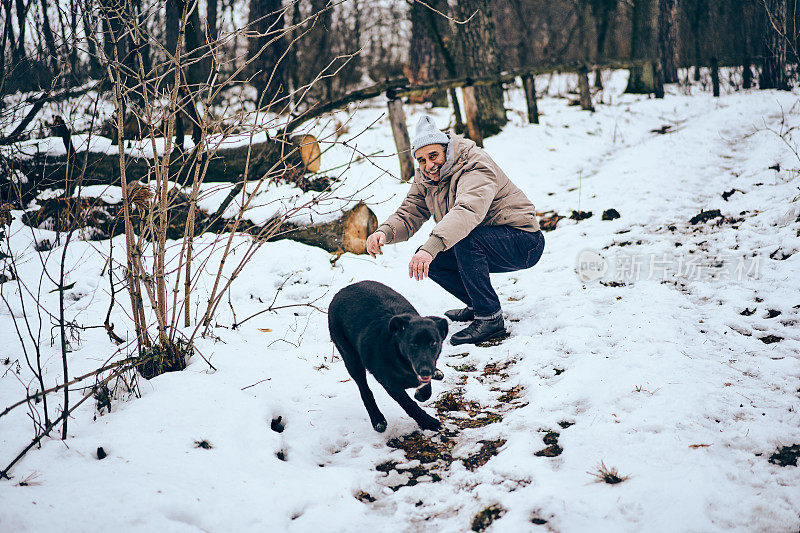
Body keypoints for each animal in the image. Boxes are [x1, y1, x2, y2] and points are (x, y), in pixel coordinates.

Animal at [326, 280, 450, 430]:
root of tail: (343, 290)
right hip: (351, 359)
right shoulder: (391, 385)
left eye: (433, 343)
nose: (425, 371)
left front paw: (421, 392)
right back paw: (377, 419)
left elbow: (425, 390)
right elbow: (409, 405)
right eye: (413, 344)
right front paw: (428, 422)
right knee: (365, 390)